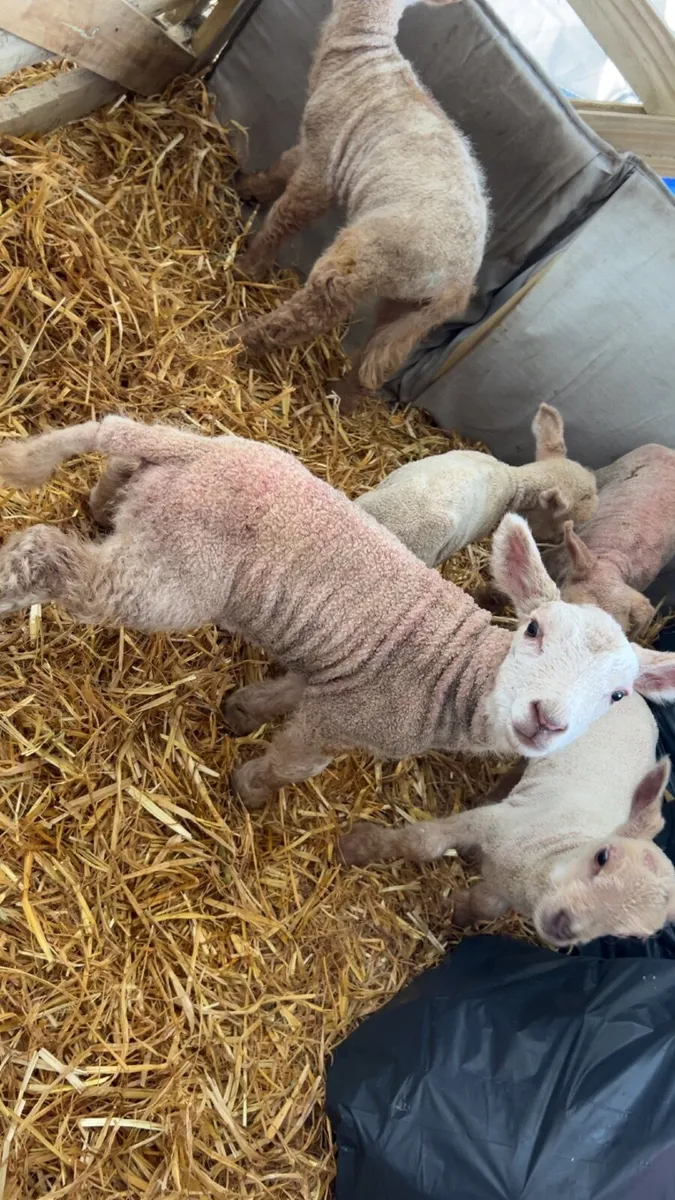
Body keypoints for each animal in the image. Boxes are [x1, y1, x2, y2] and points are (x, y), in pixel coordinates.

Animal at [227, 0, 488, 412]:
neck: (362, 50)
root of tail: (457, 283)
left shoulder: (324, 159)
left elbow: (287, 213)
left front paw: (250, 263)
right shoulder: (314, 143)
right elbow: (281, 167)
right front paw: (246, 186)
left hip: (368, 257)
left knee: (312, 314)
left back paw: (238, 337)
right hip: (410, 306)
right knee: (380, 360)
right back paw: (343, 399)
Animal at [340, 693, 675, 946]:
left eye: (630, 935)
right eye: (602, 856)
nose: (564, 926)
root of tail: (635, 693)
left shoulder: (510, 890)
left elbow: (486, 906)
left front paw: (457, 912)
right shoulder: (496, 821)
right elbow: (423, 843)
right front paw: (358, 846)